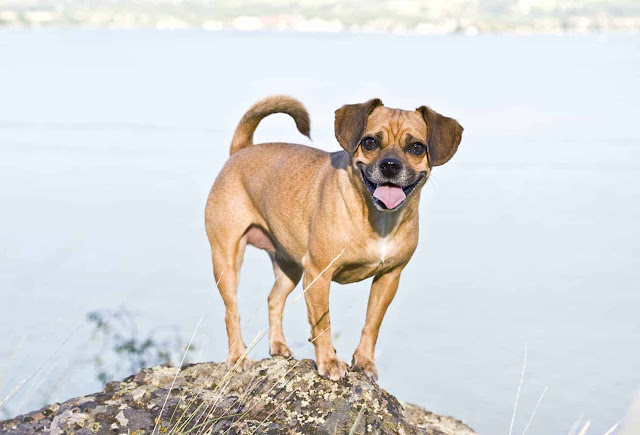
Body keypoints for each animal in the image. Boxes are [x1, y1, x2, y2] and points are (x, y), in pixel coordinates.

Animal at [205, 96, 460, 382]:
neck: (378, 218)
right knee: (231, 312)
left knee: (274, 300)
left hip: (290, 268)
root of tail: (241, 150)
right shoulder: (318, 275)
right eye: (370, 142)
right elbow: (323, 323)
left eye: (416, 147)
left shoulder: (389, 278)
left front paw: (364, 362)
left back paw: (278, 346)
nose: (390, 166)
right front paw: (328, 362)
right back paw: (238, 356)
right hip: (227, 261)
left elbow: (372, 323)